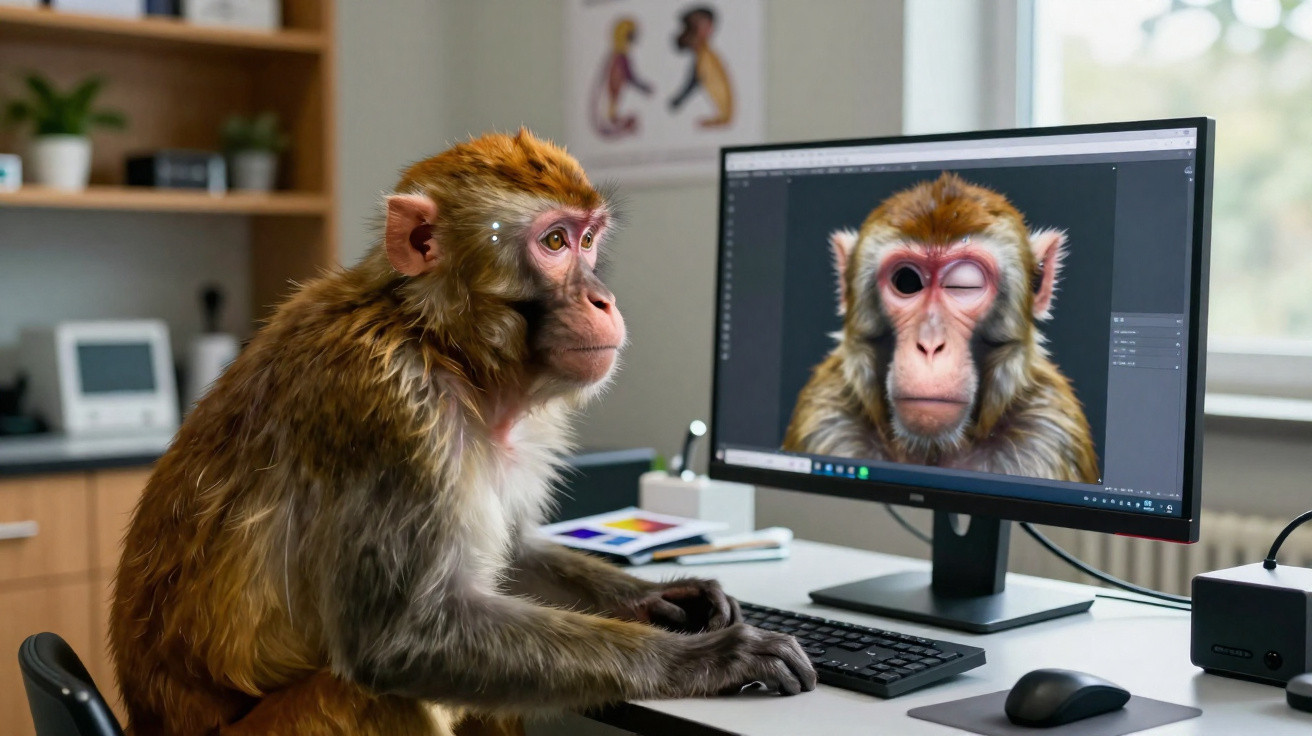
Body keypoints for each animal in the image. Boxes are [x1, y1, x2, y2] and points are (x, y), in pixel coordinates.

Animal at [110, 130, 815, 736]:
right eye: (553, 242)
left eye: (587, 240)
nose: (603, 299)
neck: (441, 346)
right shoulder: (388, 411)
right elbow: (400, 641)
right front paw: (703, 657)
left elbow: (510, 552)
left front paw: (663, 598)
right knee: (368, 692)